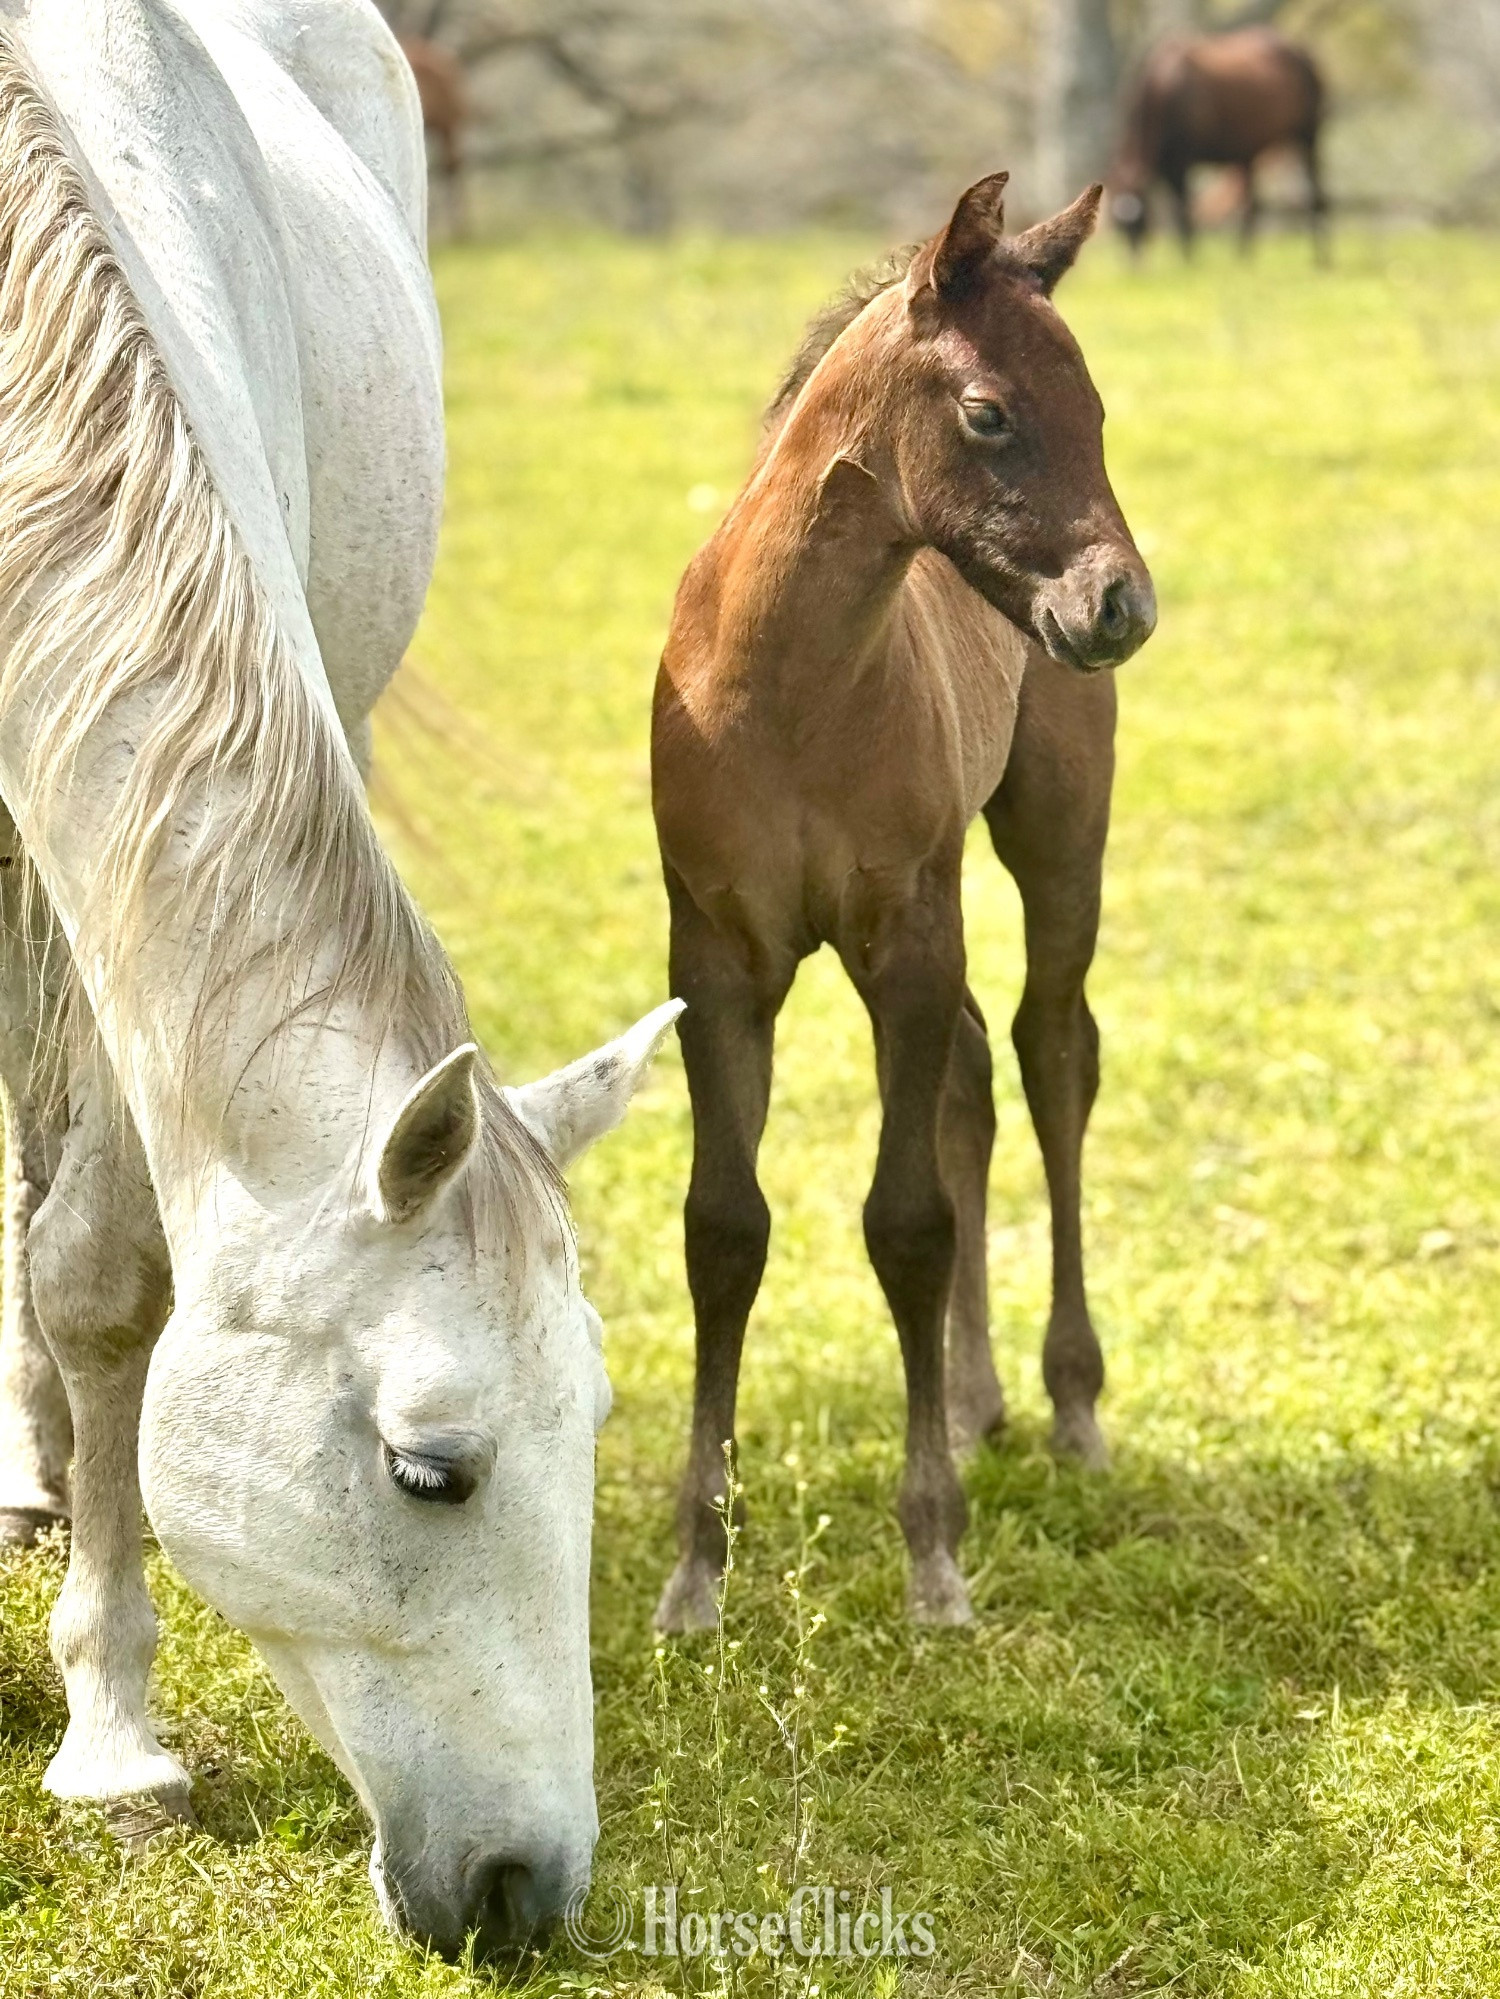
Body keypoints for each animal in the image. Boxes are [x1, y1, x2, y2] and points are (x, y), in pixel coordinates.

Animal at [0, 0, 676, 1960]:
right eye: (428, 1468)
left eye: (598, 1423)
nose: (531, 1887)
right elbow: (94, 1286)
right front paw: (117, 1736)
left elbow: (99, 1270)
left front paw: (106, 1707)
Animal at [651, 171, 1156, 1632]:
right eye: (989, 413)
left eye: (1099, 411)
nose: (1123, 603)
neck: (783, 689)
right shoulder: (716, 954)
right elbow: (724, 1227)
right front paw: (696, 1573)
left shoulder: (907, 934)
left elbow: (907, 1221)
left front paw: (935, 1557)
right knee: (978, 1073)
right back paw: (979, 1398)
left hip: (1053, 831)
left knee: (1050, 1051)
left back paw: (1068, 1405)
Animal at [1110, 27, 1328, 260]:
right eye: (1118, 225)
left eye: (1139, 220)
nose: (1134, 259)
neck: (1163, 89)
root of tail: (1302, 54)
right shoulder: (1167, 167)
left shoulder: (1182, 161)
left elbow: (1182, 210)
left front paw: (1189, 257)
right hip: (1250, 152)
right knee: (1252, 204)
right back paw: (1243, 254)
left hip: (1308, 134)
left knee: (1315, 195)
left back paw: (1321, 256)